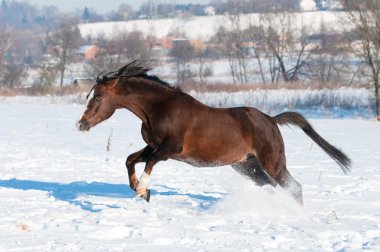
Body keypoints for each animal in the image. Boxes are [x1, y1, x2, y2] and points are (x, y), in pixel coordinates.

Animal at [75, 60, 352, 205]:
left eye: (97, 98)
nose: (81, 125)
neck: (159, 108)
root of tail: (271, 120)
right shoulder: (153, 145)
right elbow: (131, 159)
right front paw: (139, 190)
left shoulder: (170, 149)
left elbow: (149, 162)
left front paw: (144, 189)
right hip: (247, 166)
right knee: (272, 186)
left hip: (272, 162)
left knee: (294, 187)